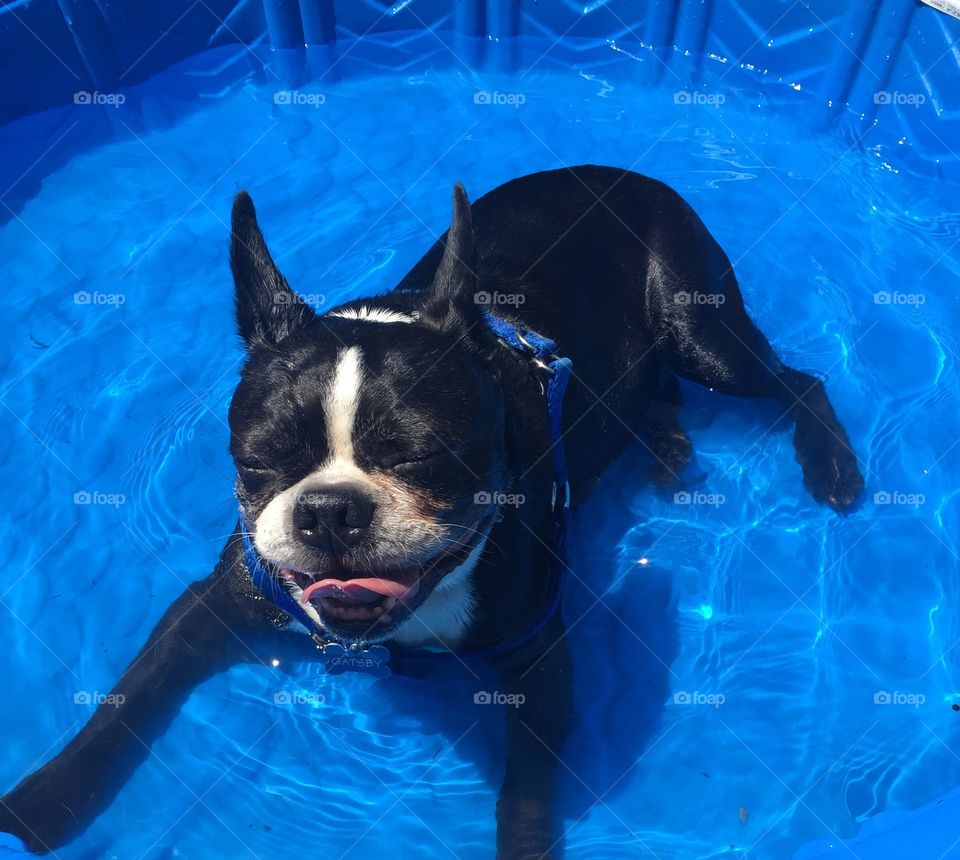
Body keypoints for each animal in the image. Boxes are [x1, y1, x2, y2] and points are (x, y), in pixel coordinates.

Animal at [0, 165, 868, 856]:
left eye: (422, 459)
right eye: (260, 460)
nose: (329, 510)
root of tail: (625, 173)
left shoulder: (540, 661)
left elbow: (525, 793)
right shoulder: (214, 605)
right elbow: (126, 700)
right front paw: (45, 799)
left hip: (699, 326)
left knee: (792, 380)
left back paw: (829, 464)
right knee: (659, 388)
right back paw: (662, 439)